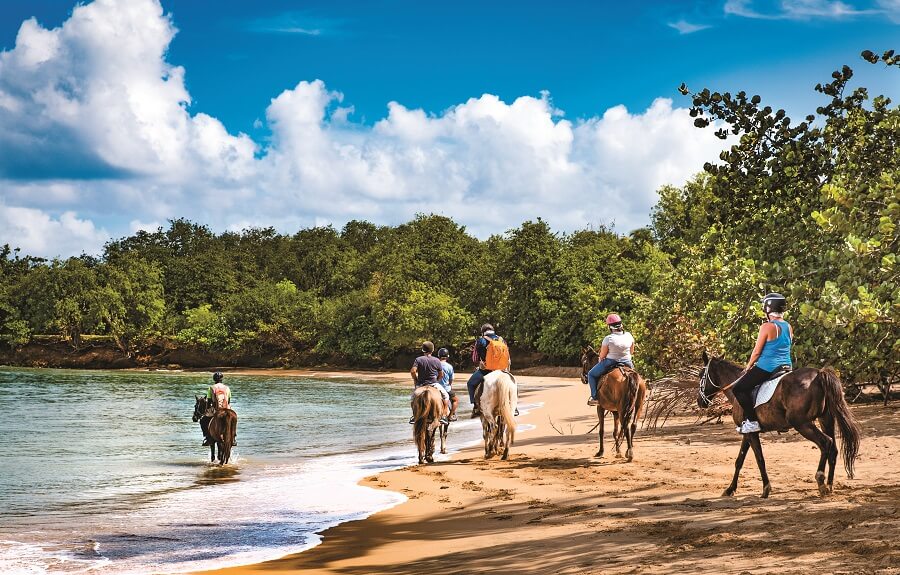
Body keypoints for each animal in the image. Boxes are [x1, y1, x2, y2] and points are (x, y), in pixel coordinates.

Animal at [700, 348, 860, 498]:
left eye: (701, 376)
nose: (699, 401)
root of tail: (818, 373)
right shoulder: (747, 432)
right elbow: (739, 460)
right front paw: (730, 489)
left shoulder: (751, 434)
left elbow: (760, 459)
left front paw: (766, 489)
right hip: (825, 420)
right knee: (833, 449)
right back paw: (830, 485)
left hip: (802, 424)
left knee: (825, 443)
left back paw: (821, 481)